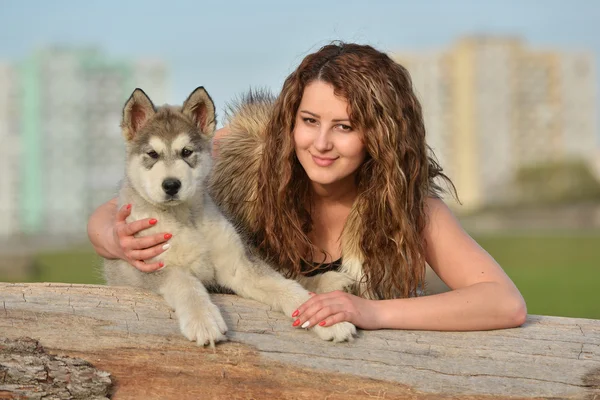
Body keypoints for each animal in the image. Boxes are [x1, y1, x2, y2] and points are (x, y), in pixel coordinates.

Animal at [102, 86, 356, 346]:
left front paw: (324, 317)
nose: (171, 185)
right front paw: (203, 320)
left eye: (186, 152)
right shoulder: (149, 268)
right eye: (152, 154)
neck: (185, 218)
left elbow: (283, 285)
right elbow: (184, 281)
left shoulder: (239, 266)